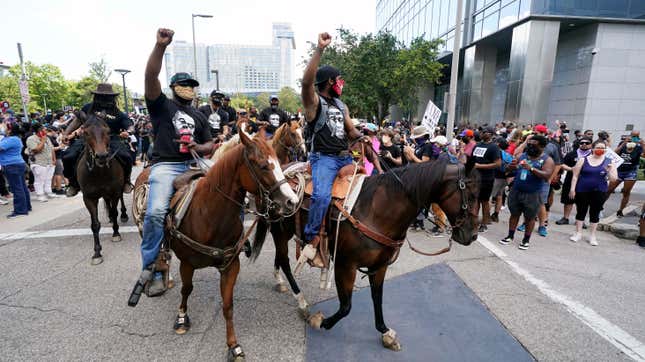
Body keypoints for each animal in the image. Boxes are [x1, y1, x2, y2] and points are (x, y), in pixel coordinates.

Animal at [76, 113, 126, 266]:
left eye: (108, 131)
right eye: (85, 132)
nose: (102, 156)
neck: (99, 173)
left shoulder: (115, 192)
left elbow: (115, 212)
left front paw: (116, 233)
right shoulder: (89, 198)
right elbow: (95, 224)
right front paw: (97, 253)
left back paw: (123, 215)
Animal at [166, 129, 296, 360]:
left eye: (279, 163)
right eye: (263, 165)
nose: (292, 201)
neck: (210, 216)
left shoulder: (231, 265)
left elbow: (228, 305)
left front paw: (233, 346)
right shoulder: (187, 263)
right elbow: (186, 289)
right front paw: (181, 318)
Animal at [250, 157, 478, 350]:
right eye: (471, 194)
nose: (473, 235)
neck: (377, 211)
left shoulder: (379, 266)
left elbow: (377, 297)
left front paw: (385, 332)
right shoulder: (345, 265)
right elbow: (346, 307)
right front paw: (320, 321)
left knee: (279, 259)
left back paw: (280, 281)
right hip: (280, 231)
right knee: (285, 261)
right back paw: (301, 301)